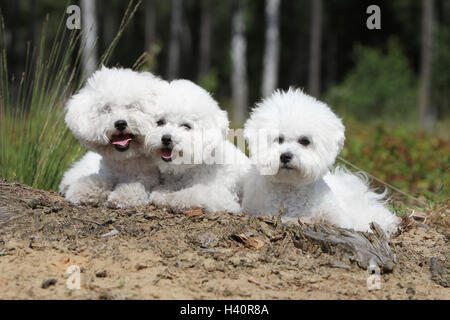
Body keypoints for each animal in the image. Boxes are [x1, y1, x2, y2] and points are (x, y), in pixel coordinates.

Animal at [58, 66, 167, 209]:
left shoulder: (148, 176)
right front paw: (83, 190)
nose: (120, 123)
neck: (125, 160)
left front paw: (123, 196)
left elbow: (135, 184)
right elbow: (98, 180)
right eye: (106, 109)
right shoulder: (107, 172)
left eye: (132, 107)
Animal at [145, 79, 248, 214]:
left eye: (186, 126)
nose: (166, 138)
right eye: (160, 122)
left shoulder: (222, 197)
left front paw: (173, 198)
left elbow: (193, 193)